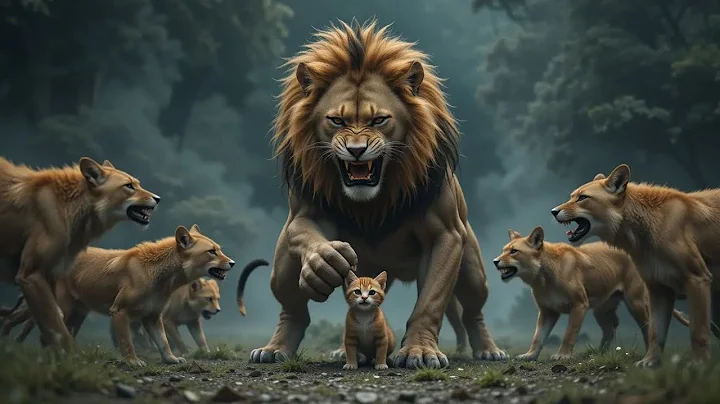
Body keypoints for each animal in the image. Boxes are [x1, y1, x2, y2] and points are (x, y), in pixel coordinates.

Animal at [0, 156, 159, 349]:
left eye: (138, 184)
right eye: (129, 186)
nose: (158, 198)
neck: (69, 207)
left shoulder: (50, 275)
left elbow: (54, 328)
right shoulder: (31, 275)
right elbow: (58, 328)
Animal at [249, 19, 506, 368]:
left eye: (379, 120)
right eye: (337, 120)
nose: (356, 150)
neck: (373, 200)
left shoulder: (446, 234)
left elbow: (431, 301)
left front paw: (419, 351)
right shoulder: (304, 213)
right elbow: (308, 236)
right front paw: (323, 263)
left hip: (473, 272)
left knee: (473, 312)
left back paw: (489, 349)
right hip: (280, 268)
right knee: (294, 311)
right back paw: (278, 349)